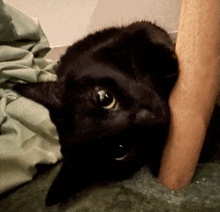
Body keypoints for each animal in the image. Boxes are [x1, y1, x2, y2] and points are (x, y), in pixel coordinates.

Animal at [12, 21, 220, 205]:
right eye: (120, 149)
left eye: (104, 98)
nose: (148, 117)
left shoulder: (126, 35)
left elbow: (144, 36)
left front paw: (163, 59)